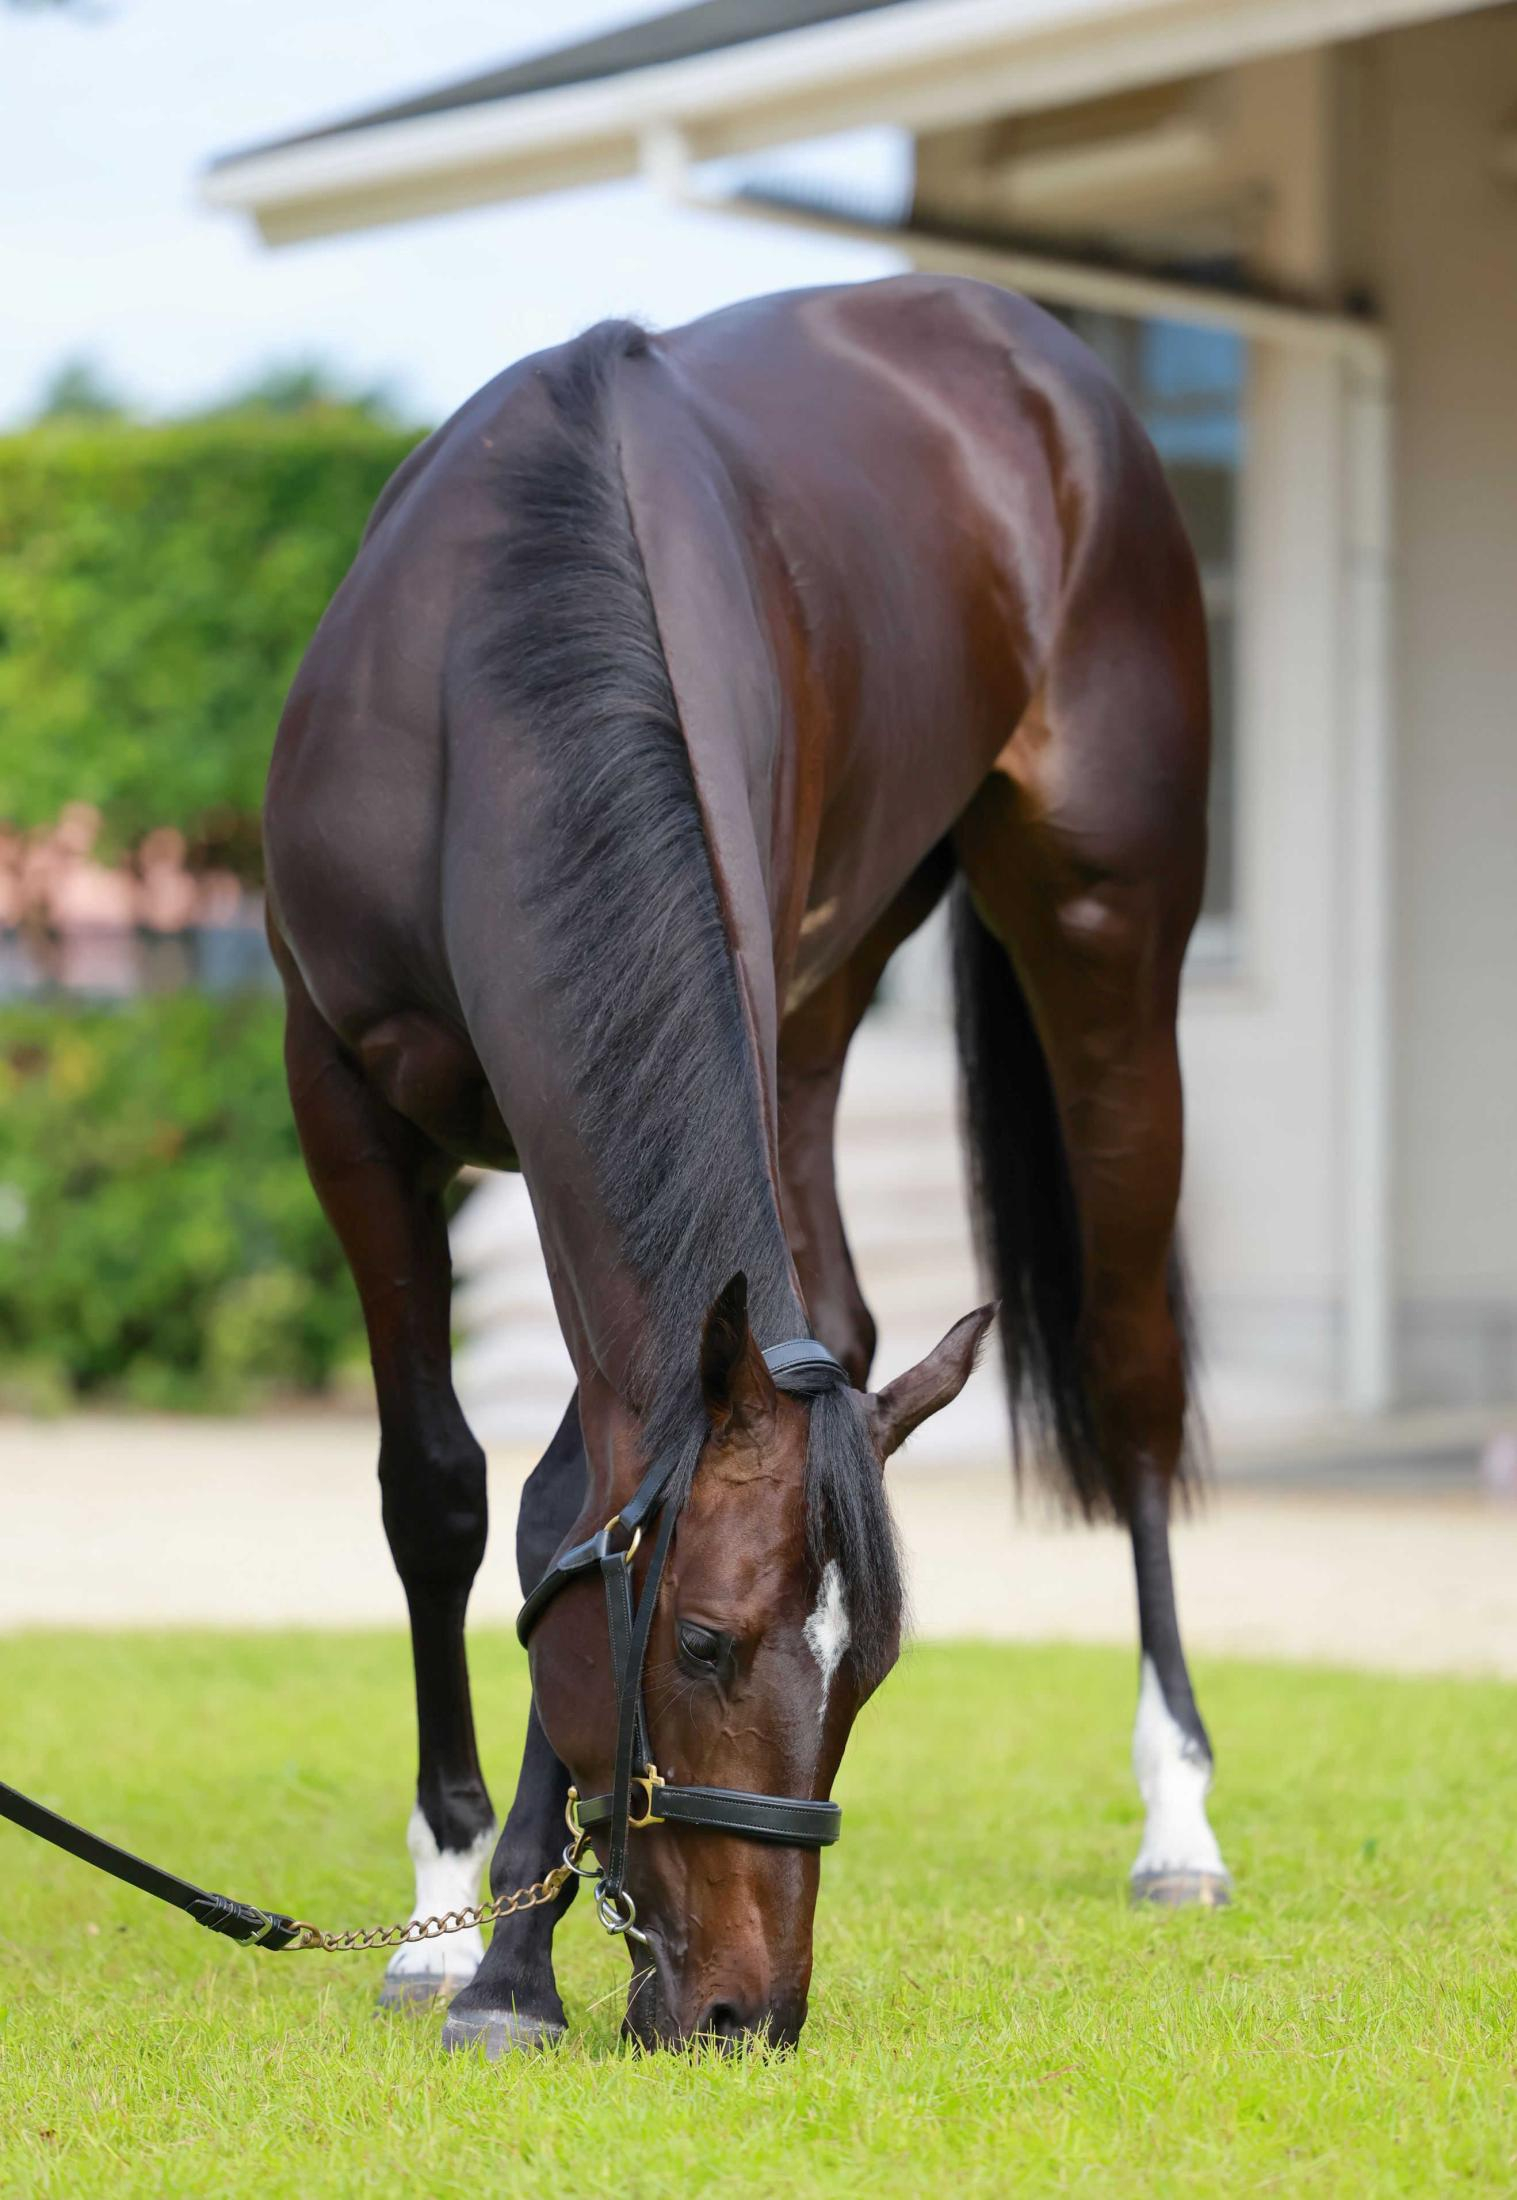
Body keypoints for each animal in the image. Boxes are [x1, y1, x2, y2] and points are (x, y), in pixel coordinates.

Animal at [264, 272, 1224, 2056]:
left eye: (871, 1671)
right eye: (705, 1647)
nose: (745, 2014)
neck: (490, 662)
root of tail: (1018, 341)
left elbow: (569, 1499)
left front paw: (510, 1961)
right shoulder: (339, 1092)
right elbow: (439, 1492)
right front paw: (450, 1909)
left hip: (1104, 937)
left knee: (1133, 1375)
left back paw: (1179, 1817)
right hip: (817, 1009)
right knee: (837, 1317)